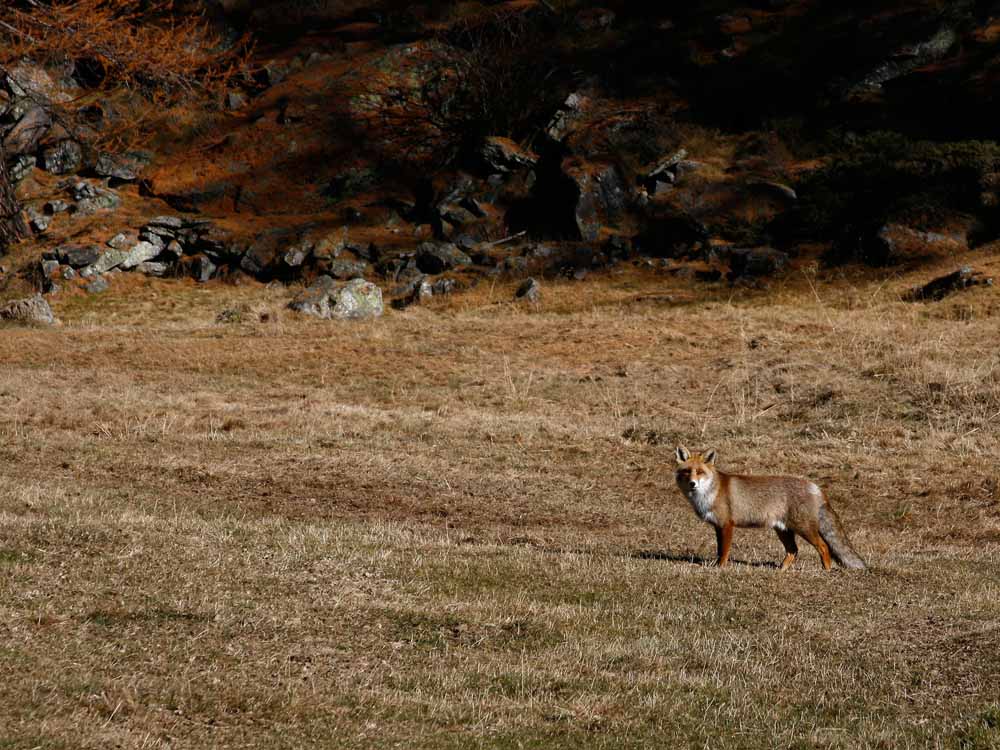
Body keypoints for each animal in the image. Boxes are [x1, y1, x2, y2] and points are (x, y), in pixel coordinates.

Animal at [676, 446, 864, 568]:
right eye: (687, 471)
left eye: (700, 472)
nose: (692, 484)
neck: (710, 492)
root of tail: (815, 487)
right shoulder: (717, 526)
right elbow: (718, 549)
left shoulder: (726, 525)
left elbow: (724, 551)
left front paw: (720, 568)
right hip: (783, 530)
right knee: (793, 550)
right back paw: (781, 570)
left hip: (804, 529)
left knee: (824, 547)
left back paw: (826, 570)